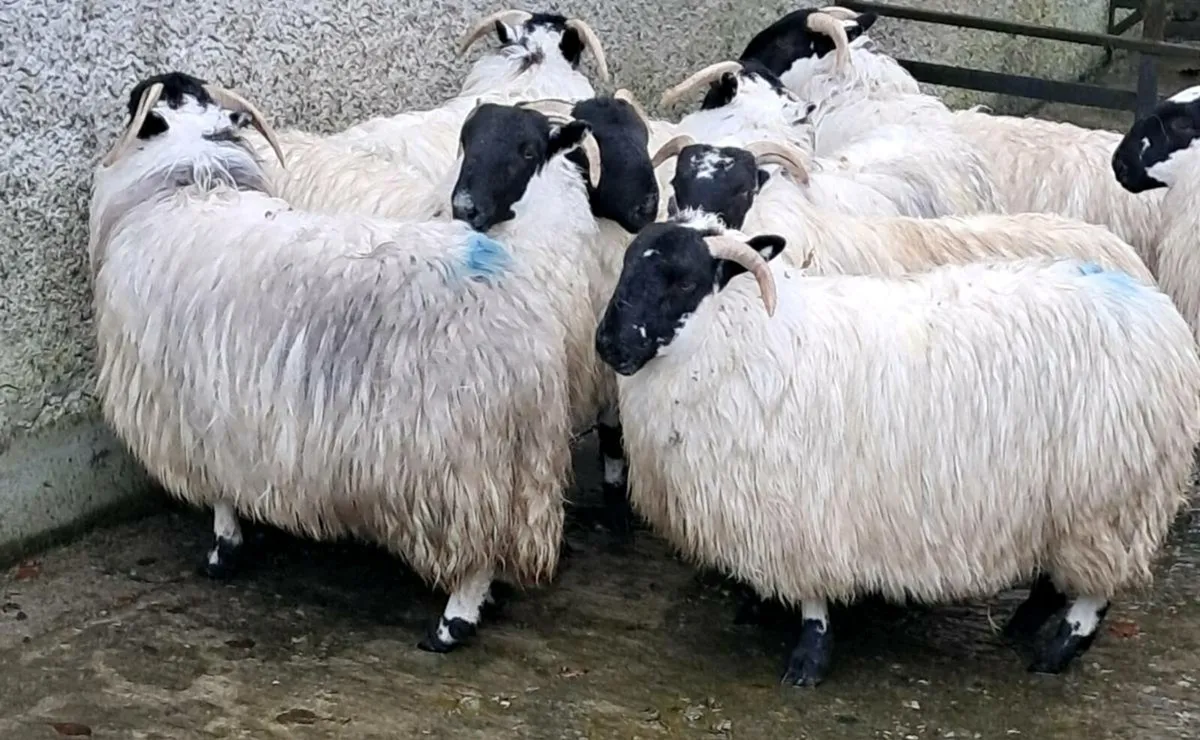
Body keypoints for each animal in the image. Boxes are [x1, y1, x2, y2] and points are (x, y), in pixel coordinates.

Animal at [88, 71, 630, 652]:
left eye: (528, 151)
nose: (466, 207)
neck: (187, 183)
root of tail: (519, 317)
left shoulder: (189, 410)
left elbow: (219, 495)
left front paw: (223, 551)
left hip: (455, 459)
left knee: (474, 550)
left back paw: (452, 622)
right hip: (514, 451)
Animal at [592, 218, 1200, 685]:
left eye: (684, 279)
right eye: (628, 265)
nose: (608, 344)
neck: (745, 339)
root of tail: (1158, 311)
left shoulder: (806, 512)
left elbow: (813, 599)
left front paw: (807, 662)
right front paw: (759, 607)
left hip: (1108, 500)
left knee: (1095, 590)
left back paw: (1055, 654)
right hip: (1064, 503)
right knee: (1055, 575)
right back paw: (1022, 626)